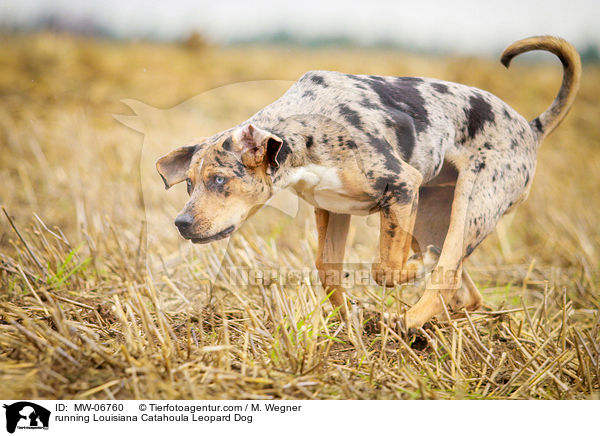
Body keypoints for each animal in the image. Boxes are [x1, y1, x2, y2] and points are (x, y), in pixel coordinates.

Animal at [157, 36, 580, 330]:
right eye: (189, 185)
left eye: (219, 179)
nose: (181, 223)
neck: (306, 132)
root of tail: (531, 128)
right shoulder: (331, 207)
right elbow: (327, 270)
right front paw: (350, 320)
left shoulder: (401, 185)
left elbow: (385, 269)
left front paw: (403, 274)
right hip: (430, 215)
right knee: (464, 290)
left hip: (471, 204)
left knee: (446, 272)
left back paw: (409, 320)